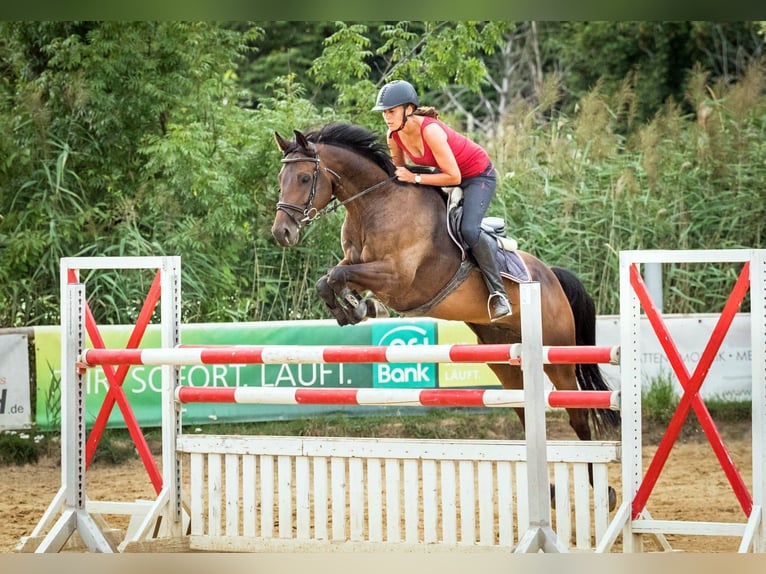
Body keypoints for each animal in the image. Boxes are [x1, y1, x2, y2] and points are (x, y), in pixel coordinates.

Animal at [272, 124, 620, 510]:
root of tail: (552, 276)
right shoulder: (357, 262)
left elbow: (338, 275)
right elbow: (329, 279)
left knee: (578, 415)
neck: (373, 205)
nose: (281, 233)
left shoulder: (397, 278)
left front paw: (361, 307)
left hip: (558, 356)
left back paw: (603, 491)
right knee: (525, 411)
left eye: (304, 178)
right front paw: (354, 309)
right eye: (281, 179)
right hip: (503, 358)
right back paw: (550, 490)